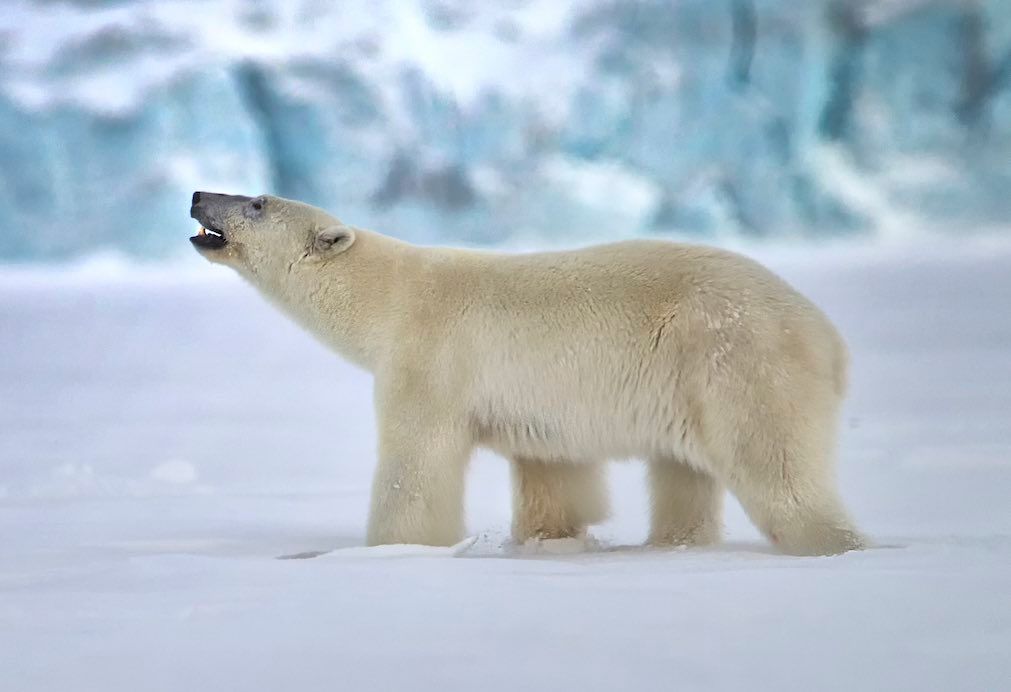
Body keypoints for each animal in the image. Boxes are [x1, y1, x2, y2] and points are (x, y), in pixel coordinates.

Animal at [190, 191, 866, 556]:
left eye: (257, 201)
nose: (198, 195)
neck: (391, 296)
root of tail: (830, 338)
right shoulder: (540, 411)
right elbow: (554, 471)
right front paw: (552, 538)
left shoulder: (428, 358)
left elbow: (416, 467)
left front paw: (390, 549)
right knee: (684, 474)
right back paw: (672, 543)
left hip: (740, 358)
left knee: (777, 466)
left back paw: (831, 543)